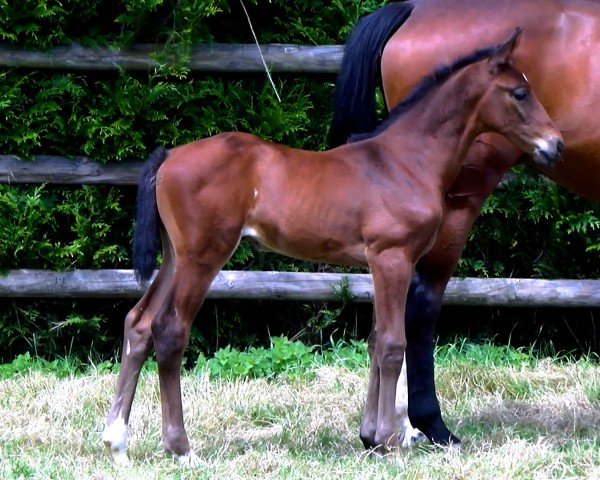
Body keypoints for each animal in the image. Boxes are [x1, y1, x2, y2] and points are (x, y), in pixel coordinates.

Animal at [101, 31, 564, 464]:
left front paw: (371, 437)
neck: (405, 162)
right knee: (170, 331)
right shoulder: (392, 257)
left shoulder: (382, 263)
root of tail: (169, 156)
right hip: (202, 256)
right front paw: (389, 442)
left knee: (139, 323)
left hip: (175, 256)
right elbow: (393, 345)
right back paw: (180, 448)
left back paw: (116, 442)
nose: (555, 144)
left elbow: (375, 342)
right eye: (519, 92)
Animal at [330, 0, 600, 450]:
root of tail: (413, 9)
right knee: (418, 308)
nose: (555, 144)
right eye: (519, 93)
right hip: (456, 206)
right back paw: (427, 425)